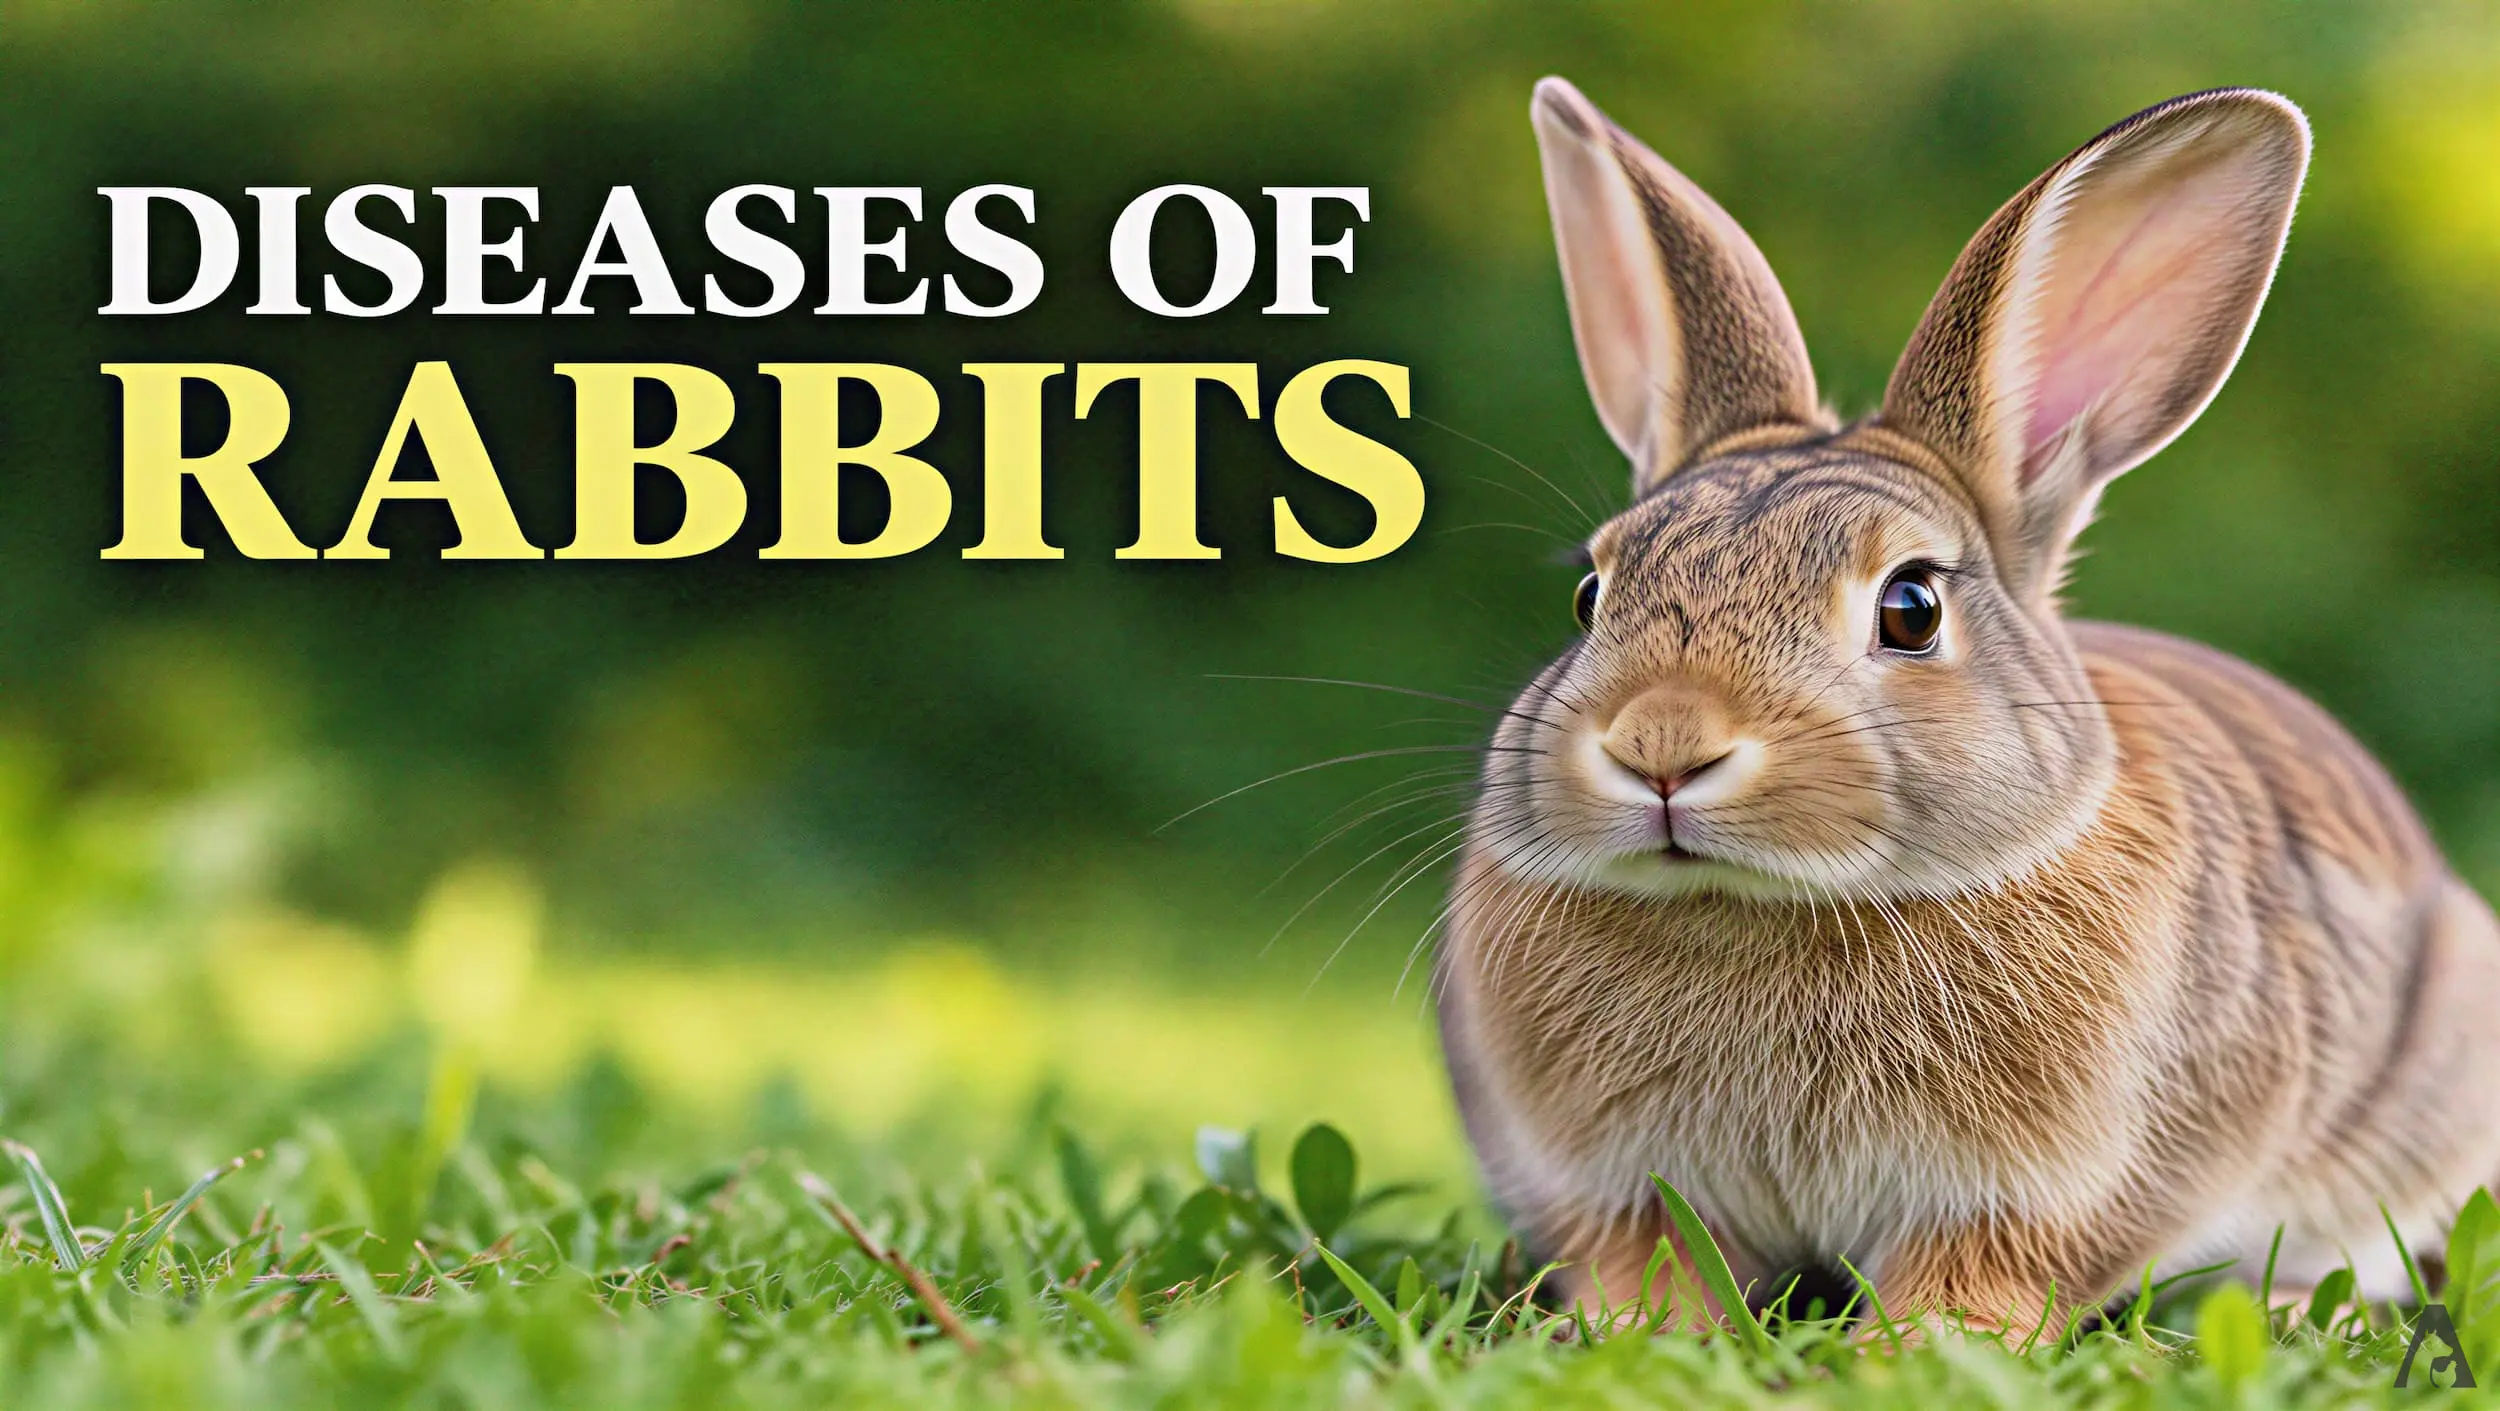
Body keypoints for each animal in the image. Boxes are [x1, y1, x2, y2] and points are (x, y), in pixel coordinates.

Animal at [1436, 77, 2500, 1331]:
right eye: (1590, 592)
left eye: (1910, 608)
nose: (1662, 747)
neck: (1765, 903)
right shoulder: (1615, 1187)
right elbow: (1646, 1262)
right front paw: (1632, 1332)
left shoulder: (2038, 1194)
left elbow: (1977, 1281)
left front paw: (1913, 1347)